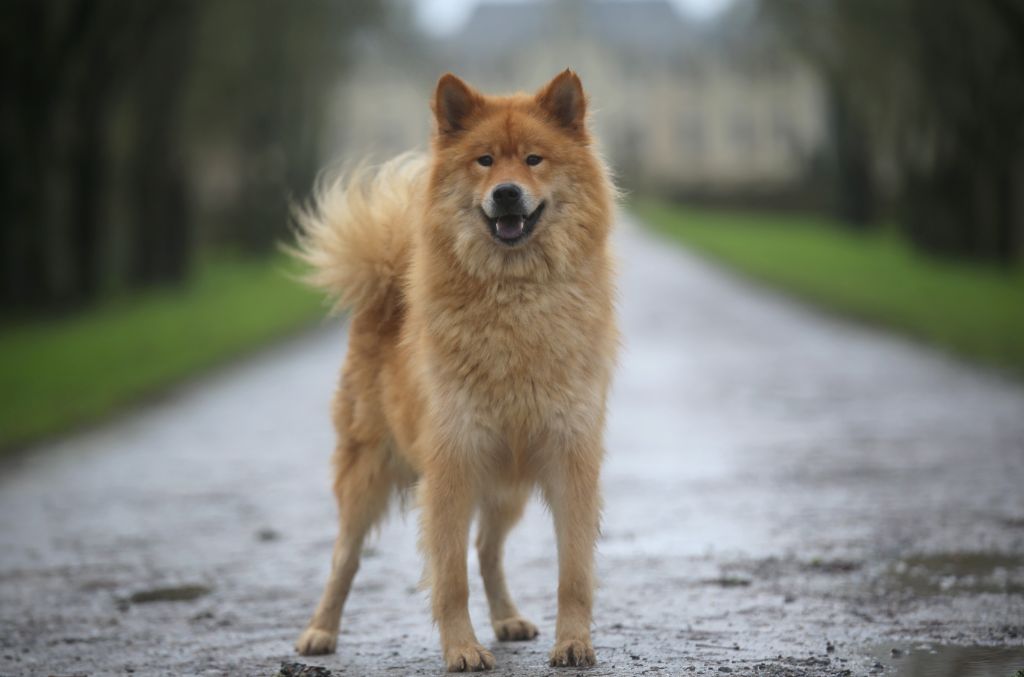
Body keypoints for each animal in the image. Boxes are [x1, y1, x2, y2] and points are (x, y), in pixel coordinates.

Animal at [292, 70, 618, 671]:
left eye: (534, 159)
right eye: (484, 161)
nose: (507, 192)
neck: (515, 300)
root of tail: (384, 295)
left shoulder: (570, 458)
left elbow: (573, 572)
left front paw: (573, 642)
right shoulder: (452, 465)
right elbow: (449, 576)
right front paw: (462, 648)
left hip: (505, 487)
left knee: (487, 550)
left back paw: (508, 618)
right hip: (368, 473)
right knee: (344, 558)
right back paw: (319, 631)